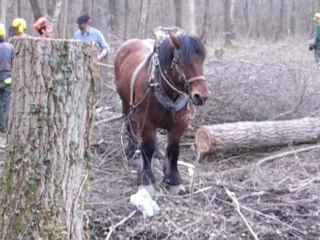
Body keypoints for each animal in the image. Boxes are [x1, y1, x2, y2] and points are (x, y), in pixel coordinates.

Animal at [114, 29, 209, 192]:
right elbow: (148, 147)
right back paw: (131, 149)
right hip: (125, 101)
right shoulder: (145, 120)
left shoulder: (180, 123)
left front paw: (174, 179)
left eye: (202, 59)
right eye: (182, 62)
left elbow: (173, 149)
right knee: (129, 122)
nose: (201, 96)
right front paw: (146, 178)